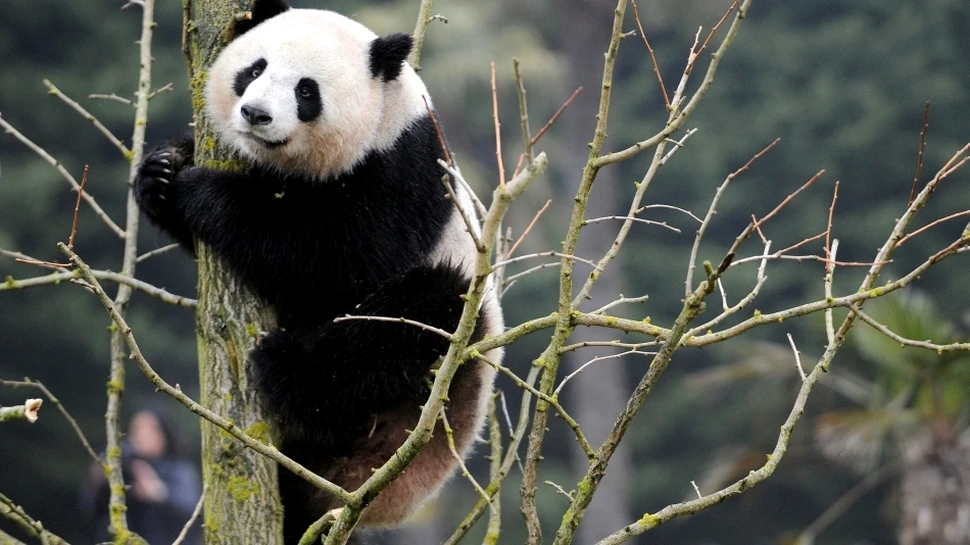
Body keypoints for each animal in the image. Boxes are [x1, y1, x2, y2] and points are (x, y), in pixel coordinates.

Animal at [133, 0, 502, 541]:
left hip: (438, 389)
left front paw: (201, 191)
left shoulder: (403, 171)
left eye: (306, 91)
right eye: (255, 69)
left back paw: (290, 371)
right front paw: (161, 173)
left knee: (409, 323)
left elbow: (339, 260)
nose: (255, 114)